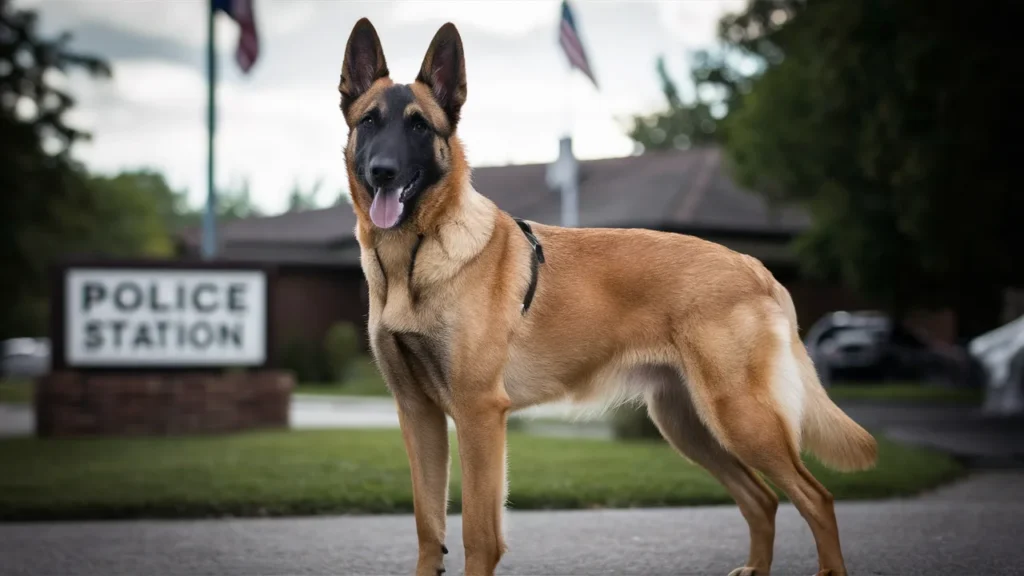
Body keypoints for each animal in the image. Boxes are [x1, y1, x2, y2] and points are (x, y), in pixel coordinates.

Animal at [339, 17, 876, 573]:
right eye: (370, 121)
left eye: (420, 127)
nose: (382, 171)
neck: (414, 258)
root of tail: (753, 266)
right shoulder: (418, 414)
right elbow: (428, 526)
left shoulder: (478, 413)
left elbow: (478, 534)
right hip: (690, 426)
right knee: (763, 498)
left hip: (740, 418)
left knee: (815, 498)